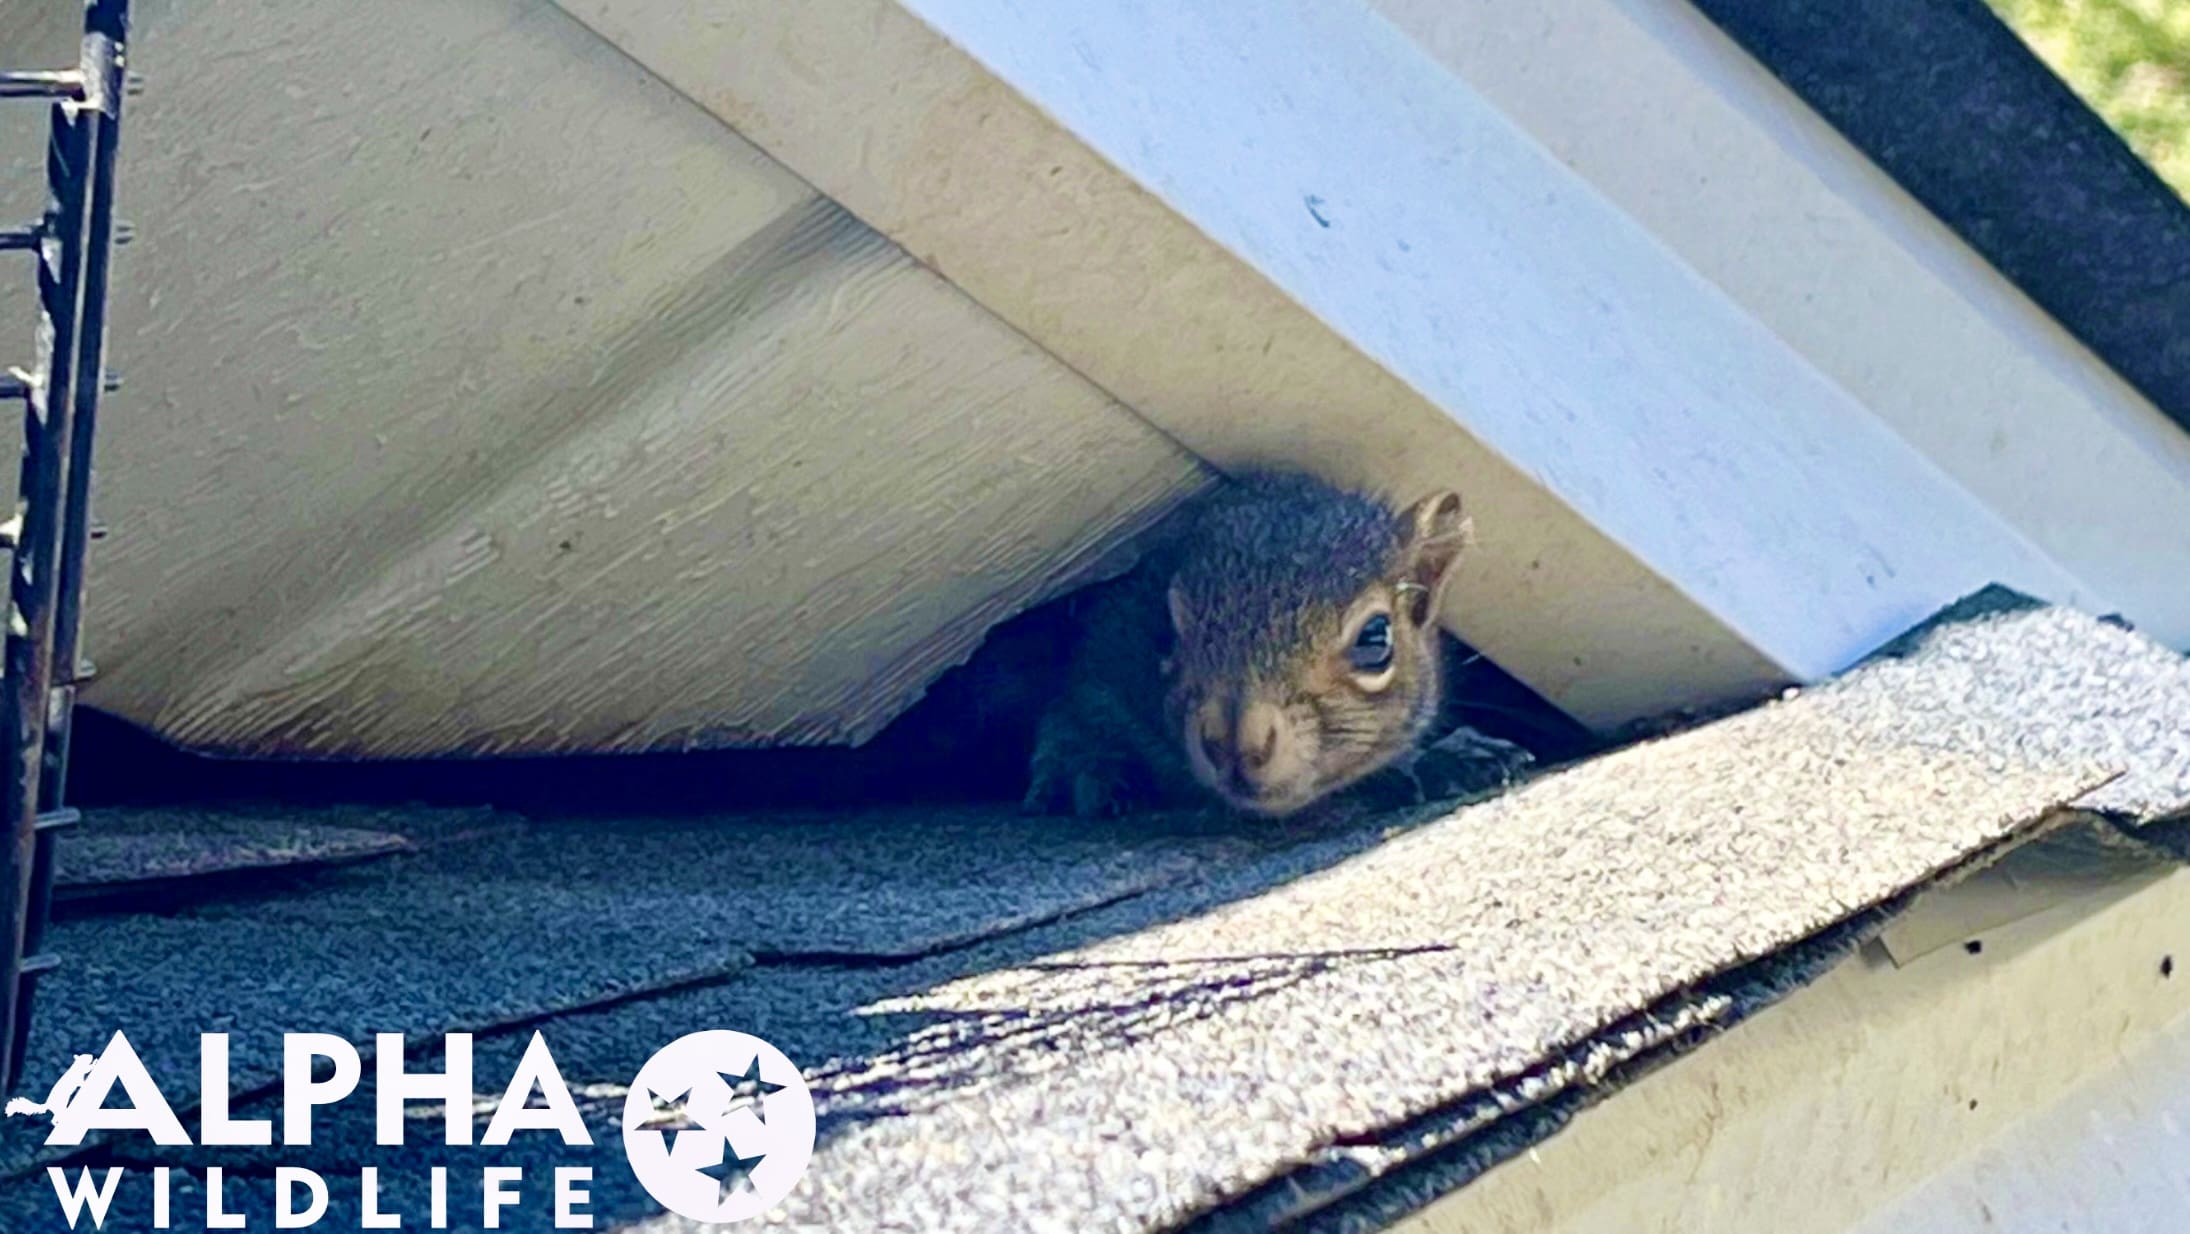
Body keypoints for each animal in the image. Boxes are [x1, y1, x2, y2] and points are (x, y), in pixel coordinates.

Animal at [1022, 469, 1532, 819]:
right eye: (1160, 626)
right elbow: (1077, 703)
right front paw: (1084, 762)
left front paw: (1449, 755)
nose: (1234, 742)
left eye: (1375, 638)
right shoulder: (1103, 652)